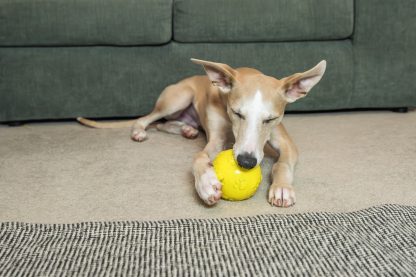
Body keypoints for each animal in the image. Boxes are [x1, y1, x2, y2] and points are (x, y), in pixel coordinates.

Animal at [77, 59, 324, 206]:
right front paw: (205, 183)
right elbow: (199, 157)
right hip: (177, 98)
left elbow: (282, 163)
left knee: (163, 125)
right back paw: (139, 131)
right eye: (237, 112)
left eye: (270, 119)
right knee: (147, 119)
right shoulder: (215, 140)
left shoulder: (287, 144)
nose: (245, 162)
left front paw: (282, 188)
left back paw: (186, 129)